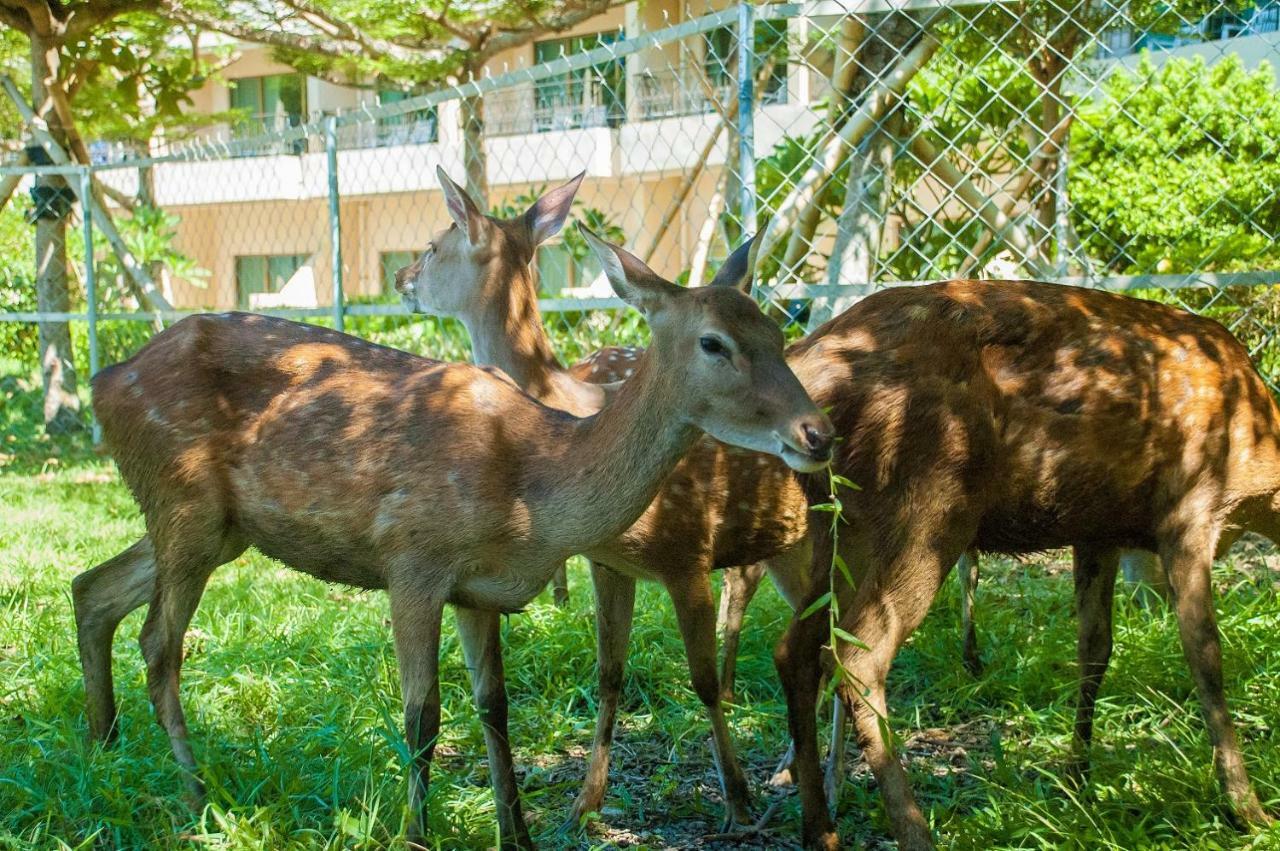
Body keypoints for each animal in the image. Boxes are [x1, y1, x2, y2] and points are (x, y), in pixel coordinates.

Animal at [70, 220, 834, 849]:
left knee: (91, 587)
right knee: (159, 643)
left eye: (776, 333)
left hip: (213, 524)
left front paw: (517, 834)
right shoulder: (413, 558)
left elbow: (495, 708)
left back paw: (104, 749)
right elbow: (423, 715)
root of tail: (102, 384)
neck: (532, 489)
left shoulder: (479, 590)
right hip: (186, 502)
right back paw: (196, 797)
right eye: (714, 343)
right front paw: (415, 834)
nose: (817, 432)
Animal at [768, 278, 1280, 849]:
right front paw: (1248, 810)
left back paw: (819, 829)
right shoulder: (1188, 509)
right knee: (857, 658)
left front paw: (1077, 777)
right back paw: (915, 831)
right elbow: (1206, 657)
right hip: (926, 504)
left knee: (794, 649)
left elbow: (1095, 649)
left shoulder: (1098, 531)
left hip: (844, 528)